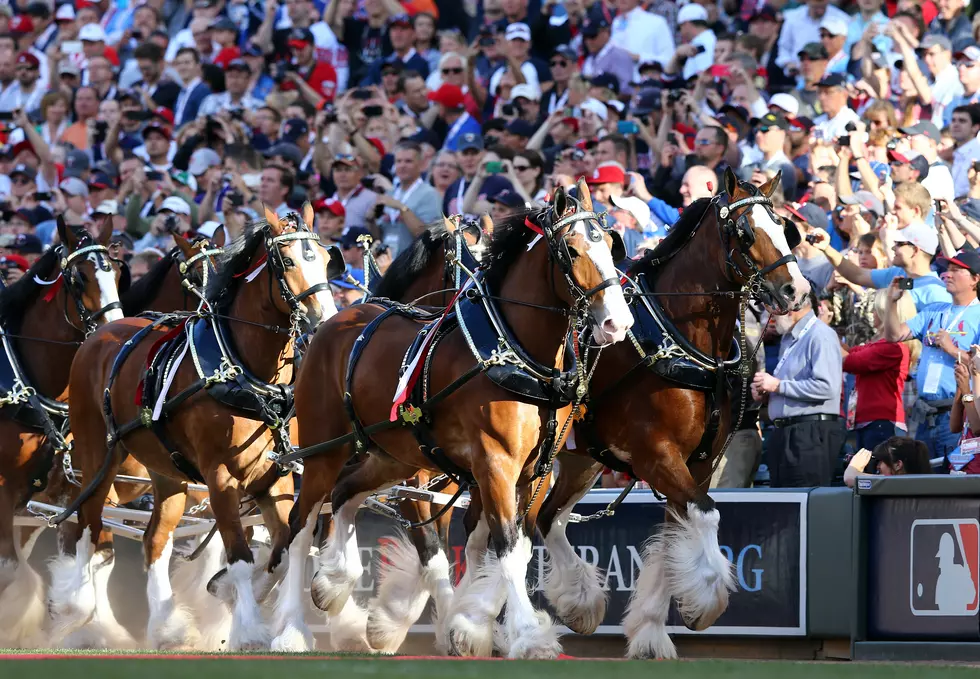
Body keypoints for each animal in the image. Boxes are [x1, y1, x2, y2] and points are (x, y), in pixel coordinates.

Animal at [0, 220, 124, 652]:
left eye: (116, 272)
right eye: (79, 277)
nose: (114, 331)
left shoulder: (70, 491)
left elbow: (87, 576)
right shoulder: (3, 489)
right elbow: (9, 570)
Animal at [52, 206, 344, 648]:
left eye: (327, 260)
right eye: (288, 261)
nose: (326, 320)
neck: (242, 370)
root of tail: (100, 334)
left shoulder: (273, 478)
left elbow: (281, 547)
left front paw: (228, 593)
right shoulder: (220, 478)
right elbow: (240, 556)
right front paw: (249, 629)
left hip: (167, 473)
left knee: (154, 539)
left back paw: (167, 627)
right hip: (97, 455)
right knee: (90, 525)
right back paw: (79, 610)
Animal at [270, 181, 636, 660]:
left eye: (611, 246)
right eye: (572, 251)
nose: (617, 323)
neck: (514, 353)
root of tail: (333, 323)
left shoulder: (528, 472)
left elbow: (507, 547)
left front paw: (472, 624)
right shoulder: (494, 465)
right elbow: (500, 547)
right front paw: (524, 635)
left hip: (393, 456)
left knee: (345, 493)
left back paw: (334, 583)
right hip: (324, 451)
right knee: (301, 523)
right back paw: (292, 628)